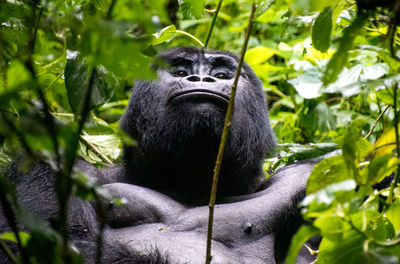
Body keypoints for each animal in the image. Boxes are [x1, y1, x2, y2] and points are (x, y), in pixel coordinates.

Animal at [0, 46, 318, 262]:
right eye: (180, 72)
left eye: (223, 75)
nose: (200, 78)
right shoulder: (44, 165)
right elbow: (37, 241)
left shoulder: (305, 176)